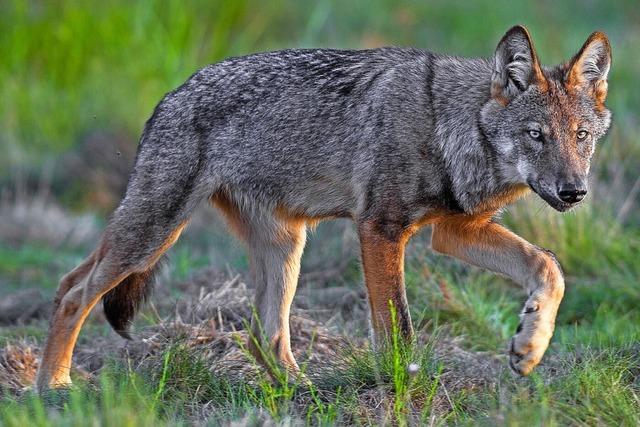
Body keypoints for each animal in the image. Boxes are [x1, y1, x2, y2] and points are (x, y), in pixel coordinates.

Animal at [33, 24, 608, 392]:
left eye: (580, 137)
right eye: (536, 136)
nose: (574, 192)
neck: (446, 127)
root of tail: (167, 98)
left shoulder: (454, 231)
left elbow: (549, 267)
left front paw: (529, 347)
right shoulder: (380, 229)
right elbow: (399, 330)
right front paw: (400, 393)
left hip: (285, 248)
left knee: (264, 335)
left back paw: (302, 392)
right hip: (155, 234)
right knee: (70, 291)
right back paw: (52, 388)